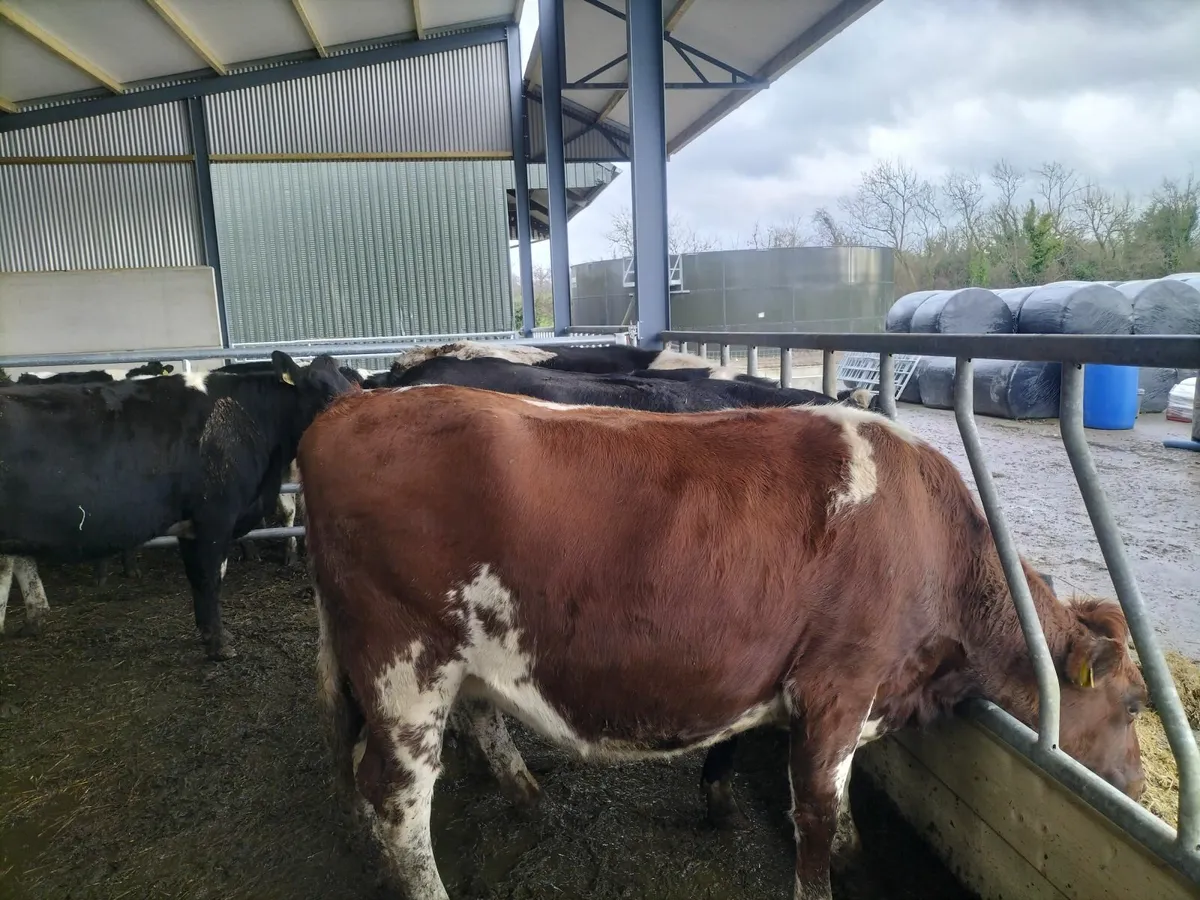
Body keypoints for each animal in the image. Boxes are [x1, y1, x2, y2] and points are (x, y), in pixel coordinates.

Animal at [0, 352, 355, 659]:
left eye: (351, 385)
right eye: (322, 391)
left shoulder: (190, 525)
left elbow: (196, 578)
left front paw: (208, 635)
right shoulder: (214, 517)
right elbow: (210, 577)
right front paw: (219, 645)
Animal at [298, 386, 1146, 900]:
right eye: (1137, 704)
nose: (1137, 791)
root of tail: (352, 404)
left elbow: (782, 761)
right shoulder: (840, 680)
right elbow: (815, 804)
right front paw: (824, 867)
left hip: (455, 659)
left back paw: (523, 789)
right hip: (404, 669)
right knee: (397, 798)